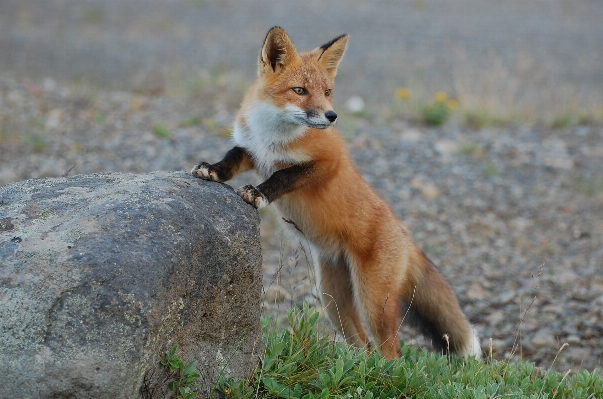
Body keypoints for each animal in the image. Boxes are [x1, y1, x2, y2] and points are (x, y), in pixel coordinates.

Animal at [193, 27, 482, 360]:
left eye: (328, 91)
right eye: (300, 90)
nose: (332, 116)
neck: (272, 136)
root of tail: (404, 234)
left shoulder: (328, 162)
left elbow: (283, 176)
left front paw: (259, 193)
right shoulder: (252, 150)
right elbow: (231, 158)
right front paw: (212, 171)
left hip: (373, 302)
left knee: (390, 351)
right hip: (332, 299)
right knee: (364, 346)